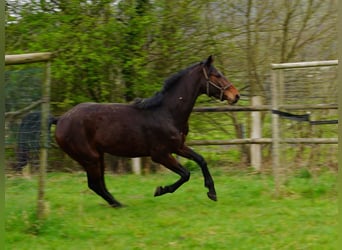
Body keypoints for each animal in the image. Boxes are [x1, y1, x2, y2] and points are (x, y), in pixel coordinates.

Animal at [54, 56, 239, 207]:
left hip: (98, 156)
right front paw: (161, 190)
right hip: (89, 158)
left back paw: (115, 203)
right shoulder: (160, 154)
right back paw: (118, 204)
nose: (235, 95)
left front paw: (212, 192)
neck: (167, 112)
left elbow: (201, 160)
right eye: (216, 75)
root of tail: (60, 120)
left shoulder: (178, 147)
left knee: (99, 183)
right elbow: (186, 174)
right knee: (95, 184)